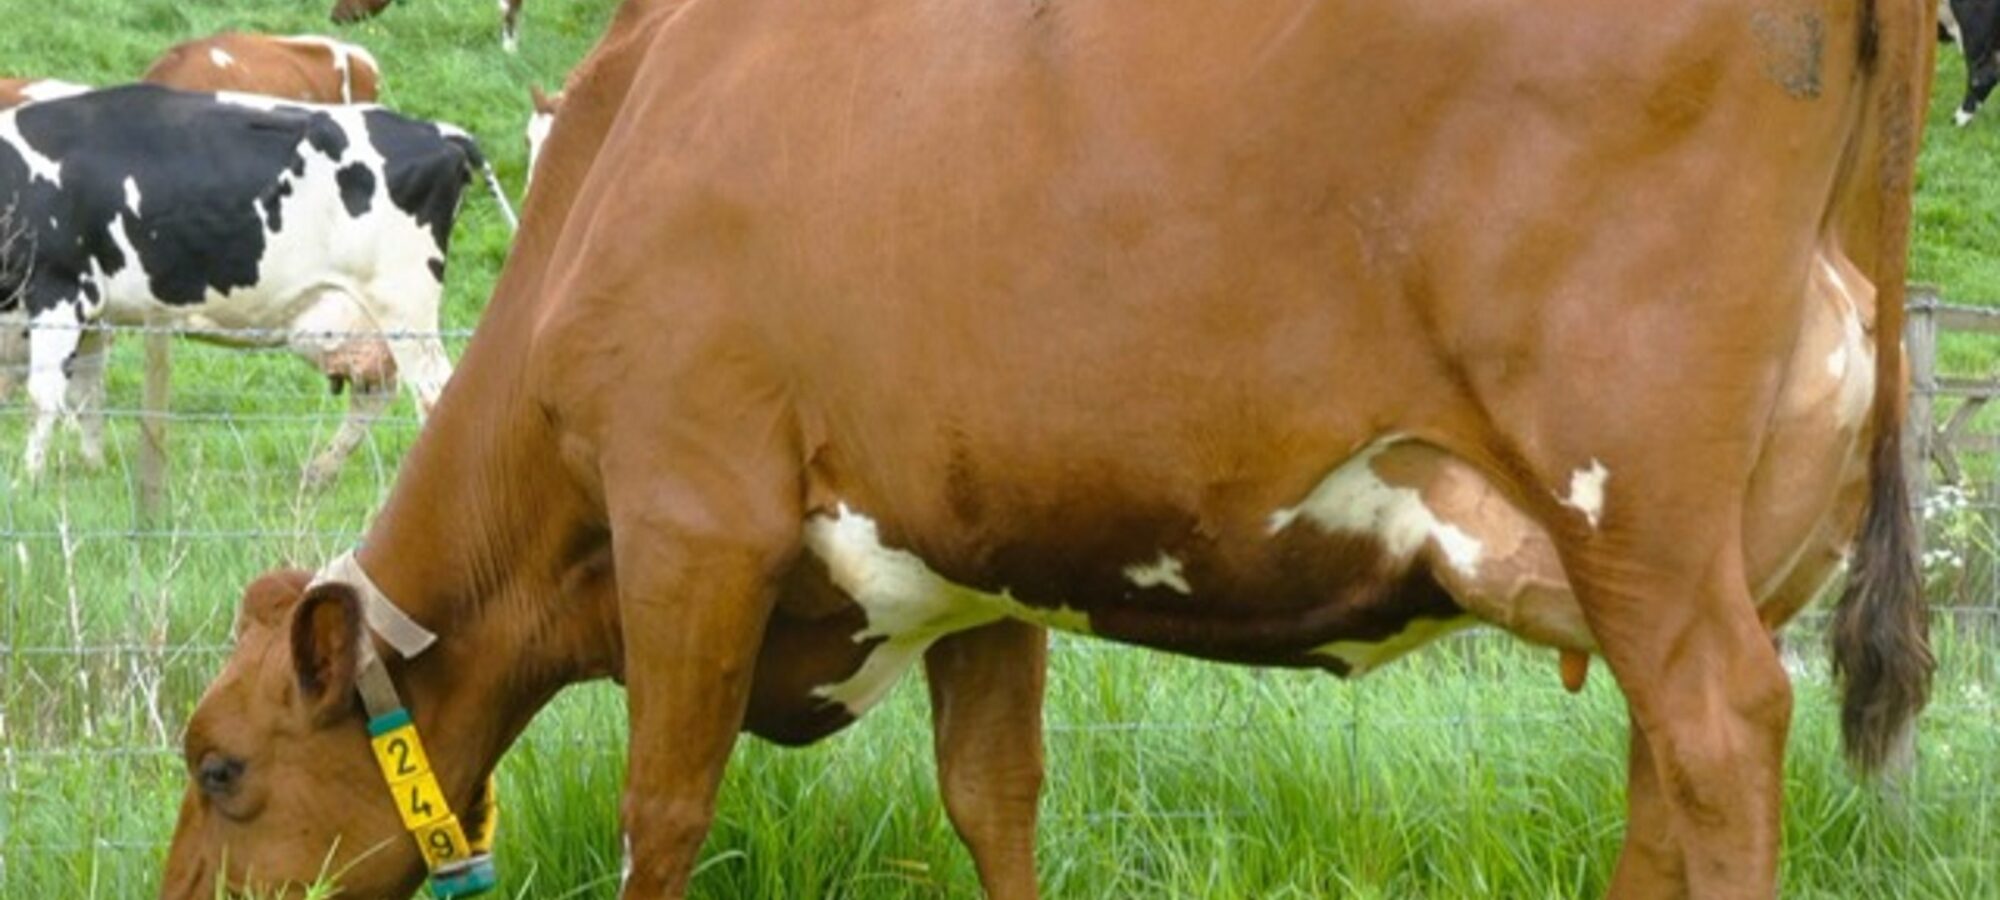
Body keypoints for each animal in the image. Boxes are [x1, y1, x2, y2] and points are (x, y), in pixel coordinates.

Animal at [0, 85, 489, 487]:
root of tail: (437, 132)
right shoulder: (94, 314)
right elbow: (87, 396)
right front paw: (92, 469)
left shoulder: (59, 289)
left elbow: (44, 396)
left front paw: (28, 482)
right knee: (377, 396)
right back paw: (317, 473)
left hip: (404, 308)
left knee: (433, 396)